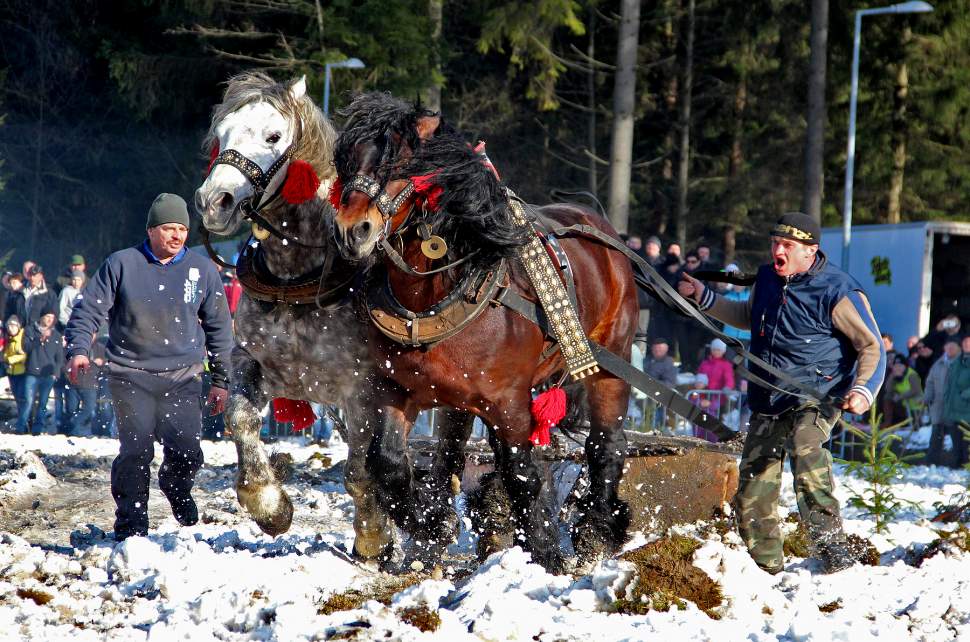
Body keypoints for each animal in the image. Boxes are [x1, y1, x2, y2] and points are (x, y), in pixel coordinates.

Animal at [328, 91, 640, 568]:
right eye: (346, 162)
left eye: (398, 164)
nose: (352, 231)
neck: (433, 296)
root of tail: (600, 226)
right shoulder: (395, 389)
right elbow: (390, 462)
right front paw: (429, 528)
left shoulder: (509, 402)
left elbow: (524, 473)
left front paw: (546, 555)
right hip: (461, 399)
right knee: (452, 453)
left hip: (613, 360)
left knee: (606, 445)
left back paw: (595, 534)